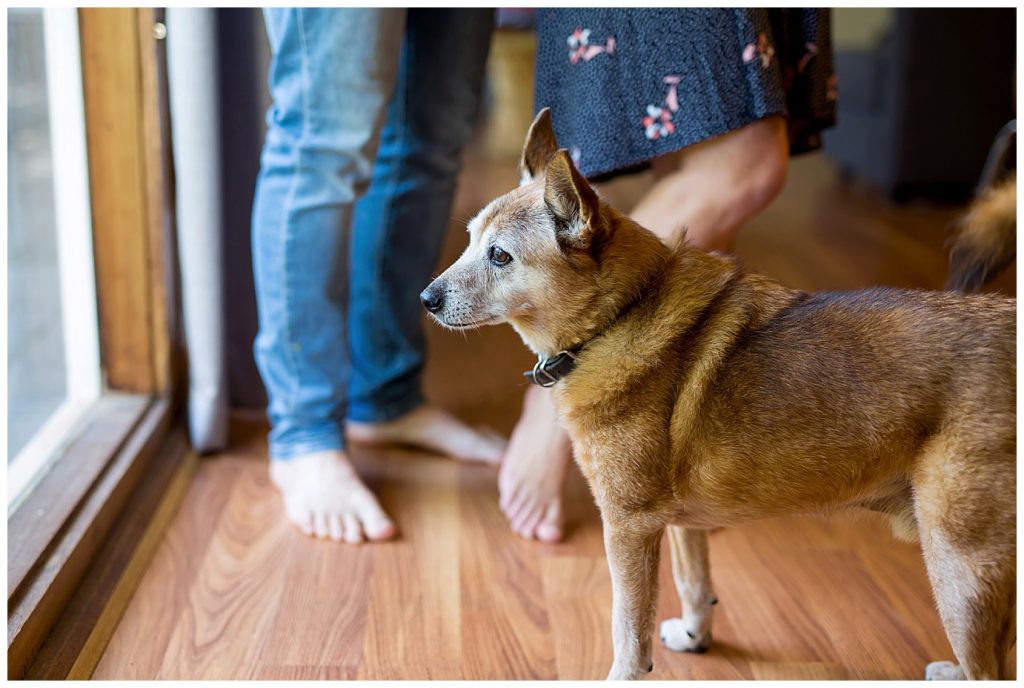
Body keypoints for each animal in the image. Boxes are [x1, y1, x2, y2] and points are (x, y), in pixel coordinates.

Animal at [419, 110, 1011, 679]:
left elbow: (627, 632)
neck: (618, 317)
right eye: (468, 240)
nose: (425, 298)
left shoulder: (629, 527)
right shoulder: (675, 524)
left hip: (960, 573)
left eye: (500, 257)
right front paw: (695, 636)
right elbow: (695, 583)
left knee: (992, 669)